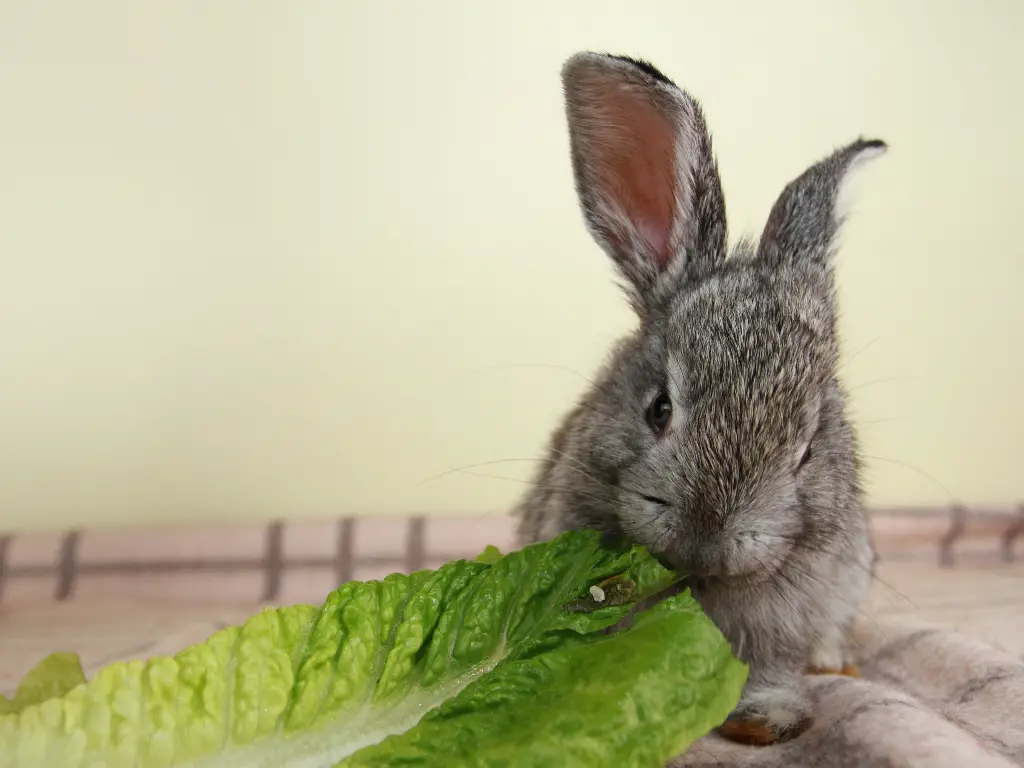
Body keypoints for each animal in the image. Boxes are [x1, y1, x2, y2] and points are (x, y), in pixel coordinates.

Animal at [516, 52, 884, 745]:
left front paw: (766, 722)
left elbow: (771, 667)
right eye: (658, 408)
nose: (705, 539)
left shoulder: (790, 610)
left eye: (808, 446)